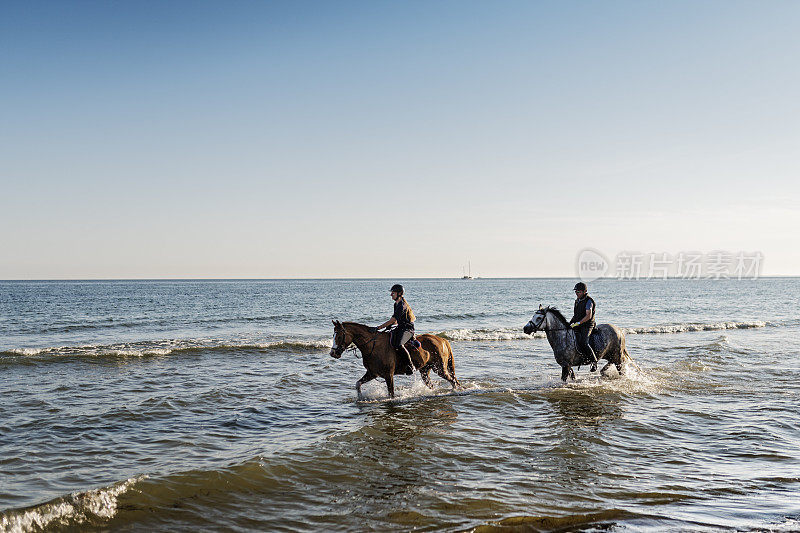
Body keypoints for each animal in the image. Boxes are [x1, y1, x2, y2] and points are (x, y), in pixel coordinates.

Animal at [328, 320, 460, 400]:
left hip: (440, 369)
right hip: (425, 371)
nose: (333, 353)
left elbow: (391, 393)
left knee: (453, 380)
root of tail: (442, 340)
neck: (372, 346)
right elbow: (358, 384)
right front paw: (360, 398)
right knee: (433, 384)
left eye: (339, 336)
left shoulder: (388, 375)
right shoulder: (372, 373)